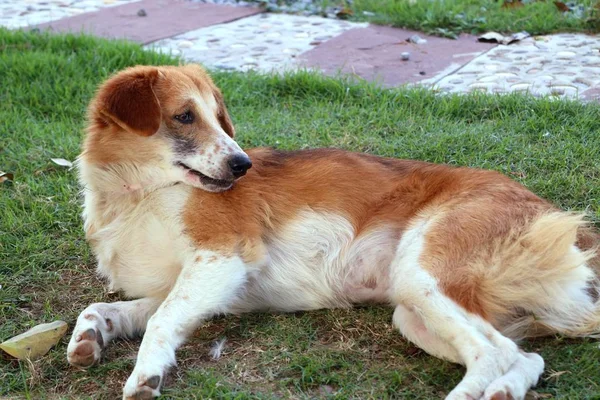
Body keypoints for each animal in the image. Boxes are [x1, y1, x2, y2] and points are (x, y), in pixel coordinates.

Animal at [65, 64, 600, 398]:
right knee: (523, 356)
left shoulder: (223, 258)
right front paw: (92, 334)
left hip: (423, 275)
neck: (136, 196)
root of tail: (543, 207)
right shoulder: (198, 285)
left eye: (219, 120)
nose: (242, 165)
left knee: (495, 352)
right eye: (183, 116)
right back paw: (504, 391)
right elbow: (113, 308)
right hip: (415, 312)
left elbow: (159, 321)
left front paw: (146, 375)